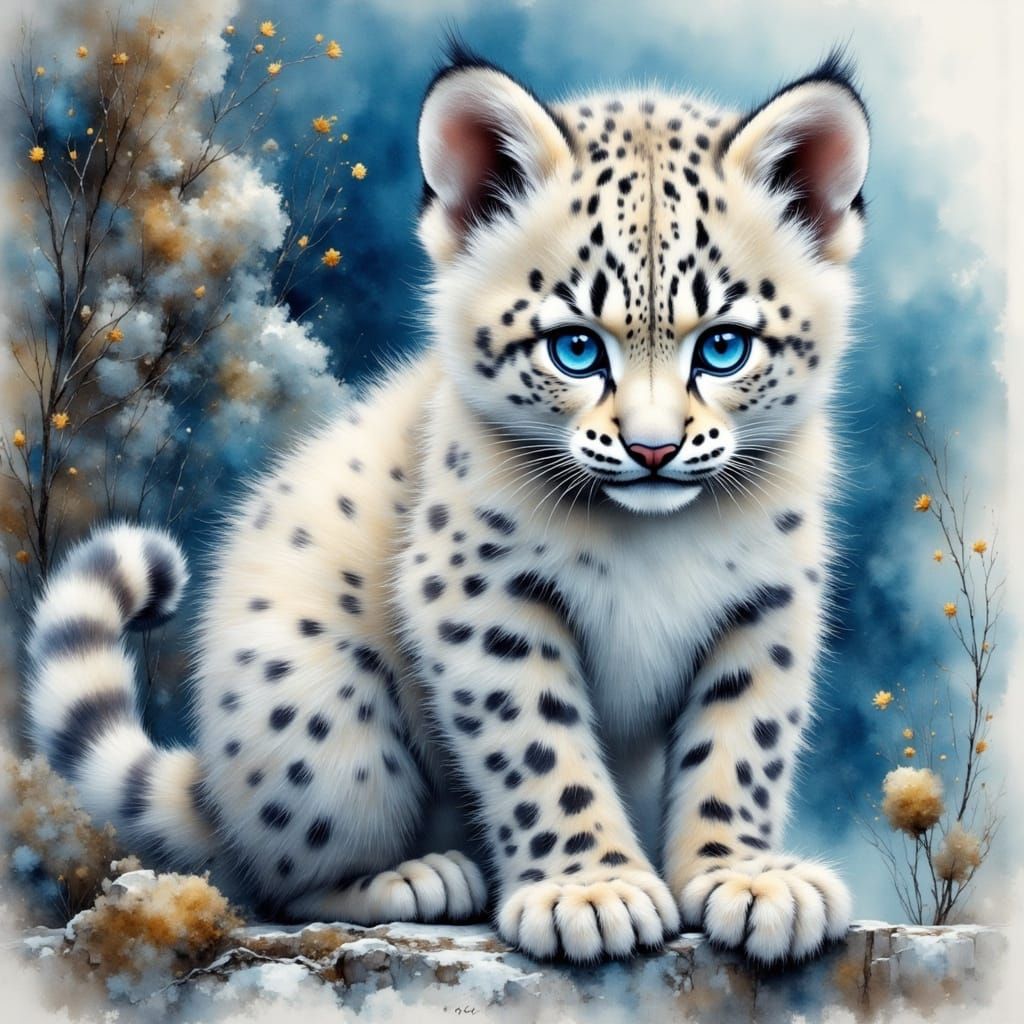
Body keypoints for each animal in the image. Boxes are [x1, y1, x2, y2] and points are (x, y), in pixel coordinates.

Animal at [23, 43, 870, 964]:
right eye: (576, 348)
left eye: (723, 347)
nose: (653, 450)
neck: (655, 541)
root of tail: (213, 779)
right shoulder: (483, 597)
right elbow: (539, 746)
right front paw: (592, 888)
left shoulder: (767, 605)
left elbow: (741, 744)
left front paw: (744, 877)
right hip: (325, 721)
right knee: (282, 878)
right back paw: (419, 878)